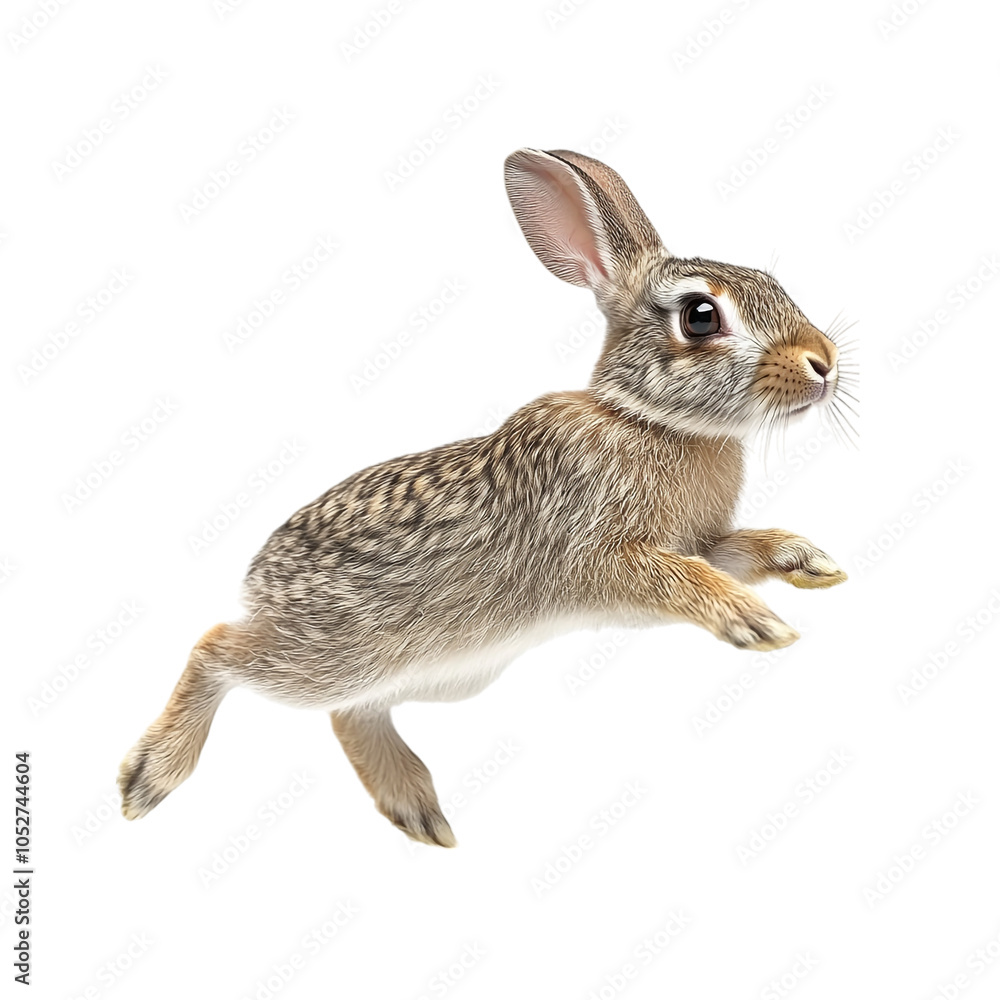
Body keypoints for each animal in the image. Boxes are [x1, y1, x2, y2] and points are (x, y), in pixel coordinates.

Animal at [118, 148, 853, 847]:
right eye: (701, 317)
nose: (823, 361)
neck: (649, 420)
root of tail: (258, 584)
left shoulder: (699, 540)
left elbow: (733, 551)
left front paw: (807, 561)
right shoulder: (601, 555)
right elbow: (679, 578)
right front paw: (754, 621)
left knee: (351, 712)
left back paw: (414, 808)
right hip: (334, 653)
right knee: (218, 648)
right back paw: (150, 775)